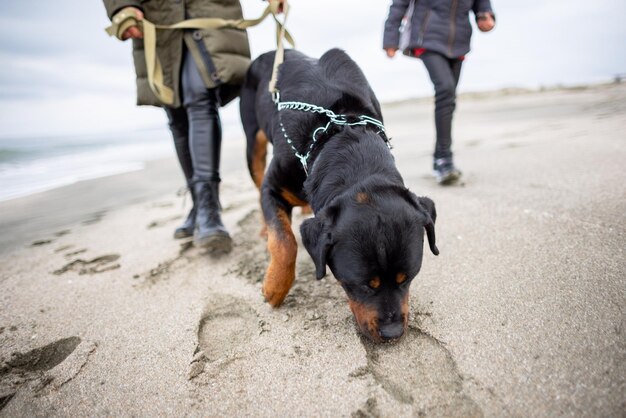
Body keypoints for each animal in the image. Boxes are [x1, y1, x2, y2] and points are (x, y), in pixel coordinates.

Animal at [239, 49, 438, 342]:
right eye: (361, 285)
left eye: (408, 278)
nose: (392, 333)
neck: (340, 133)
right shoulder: (273, 186)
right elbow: (285, 241)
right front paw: (275, 287)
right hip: (253, 139)